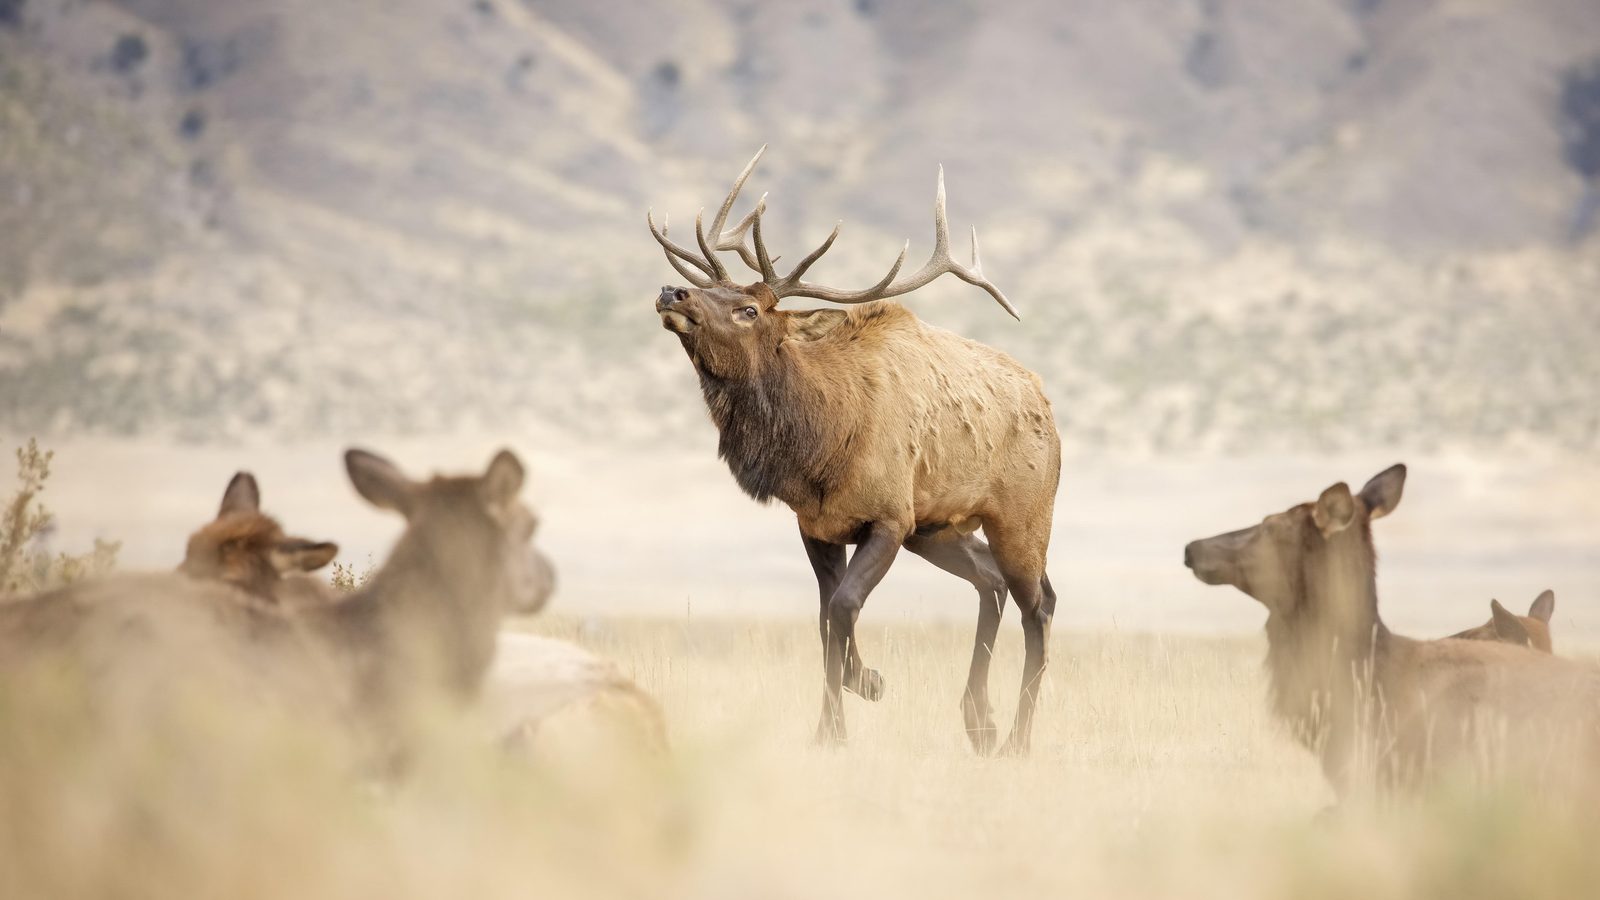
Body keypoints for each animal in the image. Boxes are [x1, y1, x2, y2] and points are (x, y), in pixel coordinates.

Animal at [649, 145, 1062, 749]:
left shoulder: (888, 517)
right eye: (715, 290)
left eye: (750, 309)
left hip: (1020, 516)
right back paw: (979, 720)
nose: (671, 291)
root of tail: (1047, 404)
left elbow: (844, 607)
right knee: (990, 583)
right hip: (938, 528)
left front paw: (863, 689)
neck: (819, 449)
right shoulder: (818, 526)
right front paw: (836, 721)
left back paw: (1017, 738)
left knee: (1040, 605)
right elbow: (827, 622)